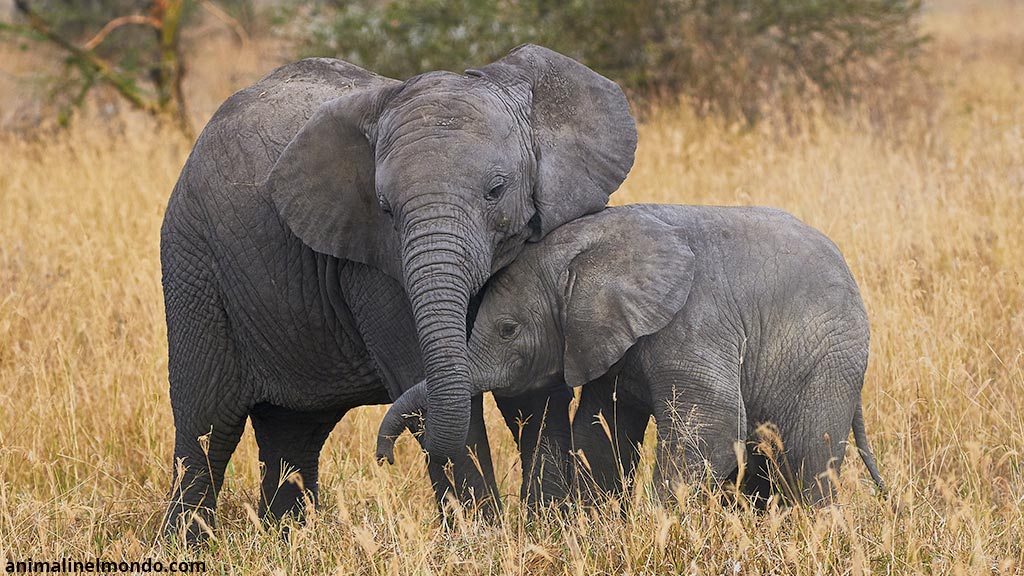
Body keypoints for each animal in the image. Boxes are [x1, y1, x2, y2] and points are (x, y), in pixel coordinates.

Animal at [159, 44, 637, 540]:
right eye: (385, 208)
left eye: (496, 190)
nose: (383, 456)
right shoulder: (372, 268)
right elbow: (435, 394)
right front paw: (480, 538)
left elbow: (533, 390)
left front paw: (551, 528)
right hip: (194, 267)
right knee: (207, 428)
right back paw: (186, 547)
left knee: (293, 433)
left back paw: (285, 539)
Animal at [377, 204, 885, 505]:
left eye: (507, 330)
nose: (384, 458)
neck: (591, 248)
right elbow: (600, 433)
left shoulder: (692, 324)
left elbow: (712, 430)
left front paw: (661, 525)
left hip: (829, 359)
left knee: (807, 458)